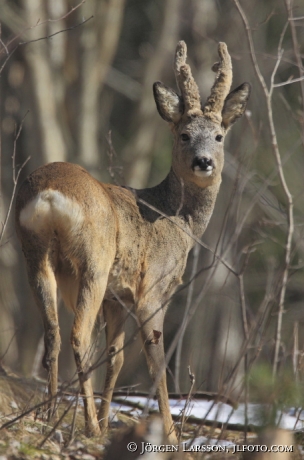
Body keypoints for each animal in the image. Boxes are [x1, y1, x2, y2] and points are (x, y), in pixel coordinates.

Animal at [15, 42, 251, 442]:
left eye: (219, 136)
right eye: (184, 135)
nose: (204, 162)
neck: (173, 218)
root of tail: (49, 196)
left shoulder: (117, 297)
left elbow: (117, 356)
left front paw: (110, 417)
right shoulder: (152, 288)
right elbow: (156, 361)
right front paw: (170, 434)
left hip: (34, 253)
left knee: (53, 333)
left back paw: (47, 413)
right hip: (94, 260)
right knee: (79, 336)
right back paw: (89, 425)